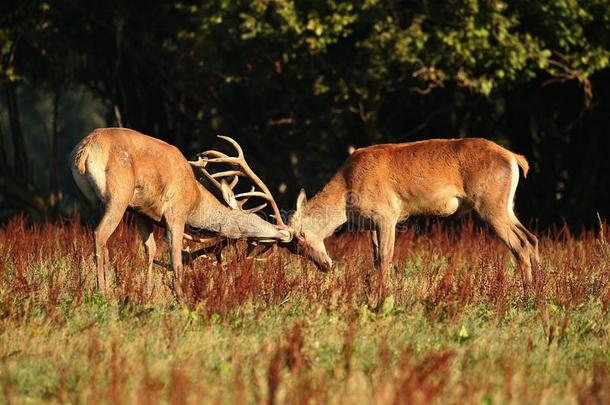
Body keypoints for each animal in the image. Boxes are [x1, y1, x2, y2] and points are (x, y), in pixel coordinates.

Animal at [70, 128, 290, 298]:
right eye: (253, 217)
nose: (286, 233)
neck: (195, 199)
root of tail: (85, 151)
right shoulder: (176, 212)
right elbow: (175, 257)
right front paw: (181, 297)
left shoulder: (141, 212)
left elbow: (150, 250)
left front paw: (147, 293)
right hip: (119, 194)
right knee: (100, 234)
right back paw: (103, 292)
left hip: (87, 201)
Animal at [288, 137, 540, 304]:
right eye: (294, 250)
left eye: (301, 237)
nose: (324, 265)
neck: (347, 190)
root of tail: (514, 158)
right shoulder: (371, 223)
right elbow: (376, 258)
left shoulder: (387, 213)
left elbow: (385, 256)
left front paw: (382, 298)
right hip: (505, 206)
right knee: (532, 238)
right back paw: (539, 288)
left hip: (491, 205)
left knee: (520, 244)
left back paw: (527, 295)